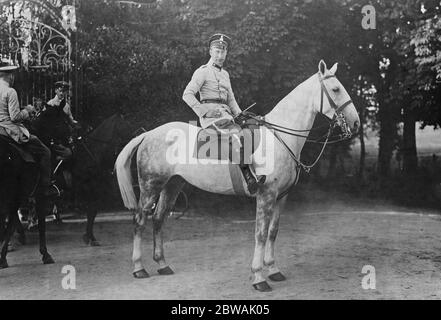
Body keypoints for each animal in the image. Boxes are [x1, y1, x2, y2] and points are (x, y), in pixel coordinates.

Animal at [115, 60, 360, 292]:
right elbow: (261, 234)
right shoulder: (266, 195)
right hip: (151, 186)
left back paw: (162, 265)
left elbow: (273, 232)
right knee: (140, 220)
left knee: (158, 219)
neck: (278, 138)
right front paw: (259, 278)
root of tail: (148, 134)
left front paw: (273, 270)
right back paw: (139, 268)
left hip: (172, 185)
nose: (356, 122)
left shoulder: (281, 197)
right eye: (336, 89)